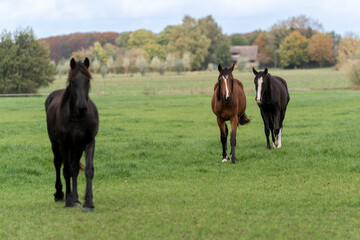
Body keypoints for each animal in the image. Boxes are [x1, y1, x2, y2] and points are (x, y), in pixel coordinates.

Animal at [46, 58, 100, 212]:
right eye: (72, 81)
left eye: (87, 80)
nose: (82, 107)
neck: (78, 118)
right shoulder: (64, 145)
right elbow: (66, 170)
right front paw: (69, 201)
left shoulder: (89, 142)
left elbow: (88, 170)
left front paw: (88, 203)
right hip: (56, 144)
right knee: (58, 164)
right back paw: (60, 194)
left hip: (77, 147)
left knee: (75, 167)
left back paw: (76, 199)